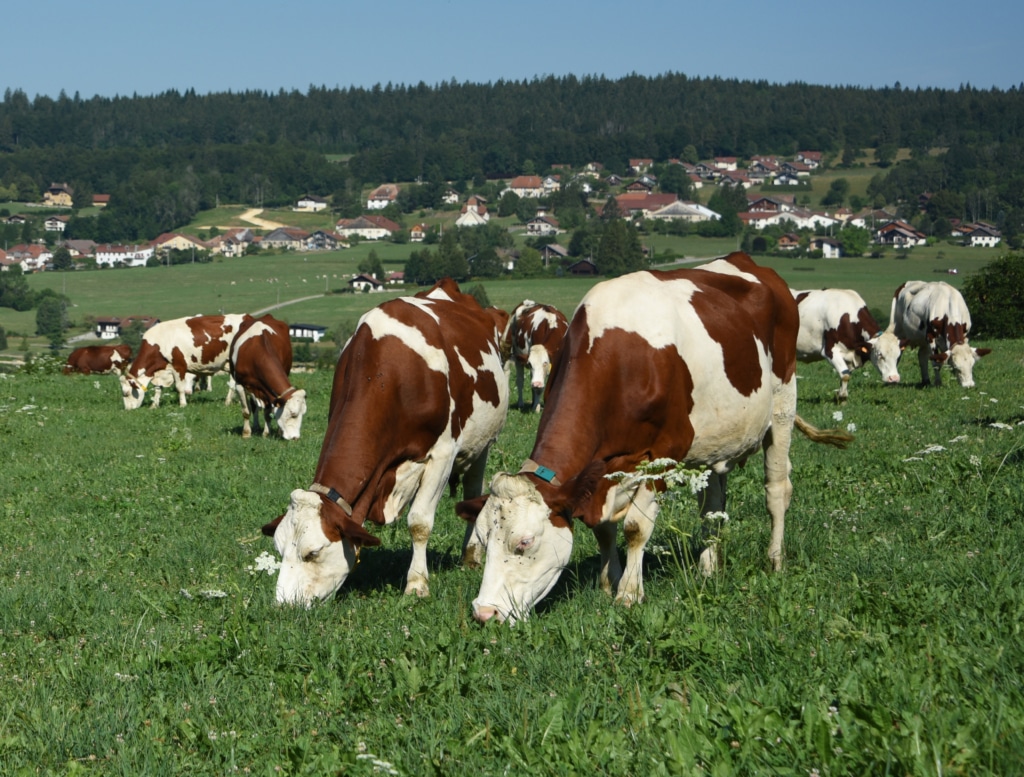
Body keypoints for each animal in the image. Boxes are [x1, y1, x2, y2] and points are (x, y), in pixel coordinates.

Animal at [260, 280, 507, 606]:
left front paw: (416, 584)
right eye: (280, 550)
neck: (385, 373)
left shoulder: (442, 454)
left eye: (312, 553)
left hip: (482, 443)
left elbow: (419, 523)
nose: (285, 605)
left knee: (472, 492)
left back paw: (470, 555)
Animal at [460, 254, 851, 626]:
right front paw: (608, 582)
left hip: (783, 401)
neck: (619, 360)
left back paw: (775, 560)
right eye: (483, 541)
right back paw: (708, 566)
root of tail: (747, 262)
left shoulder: (664, 453)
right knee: (713, 506)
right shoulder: (601, 472)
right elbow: (604, 529)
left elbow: (635, 528)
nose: (484, 613)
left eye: (524, 542)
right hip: (717, 441)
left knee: (777, 489)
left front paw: (629, 594)